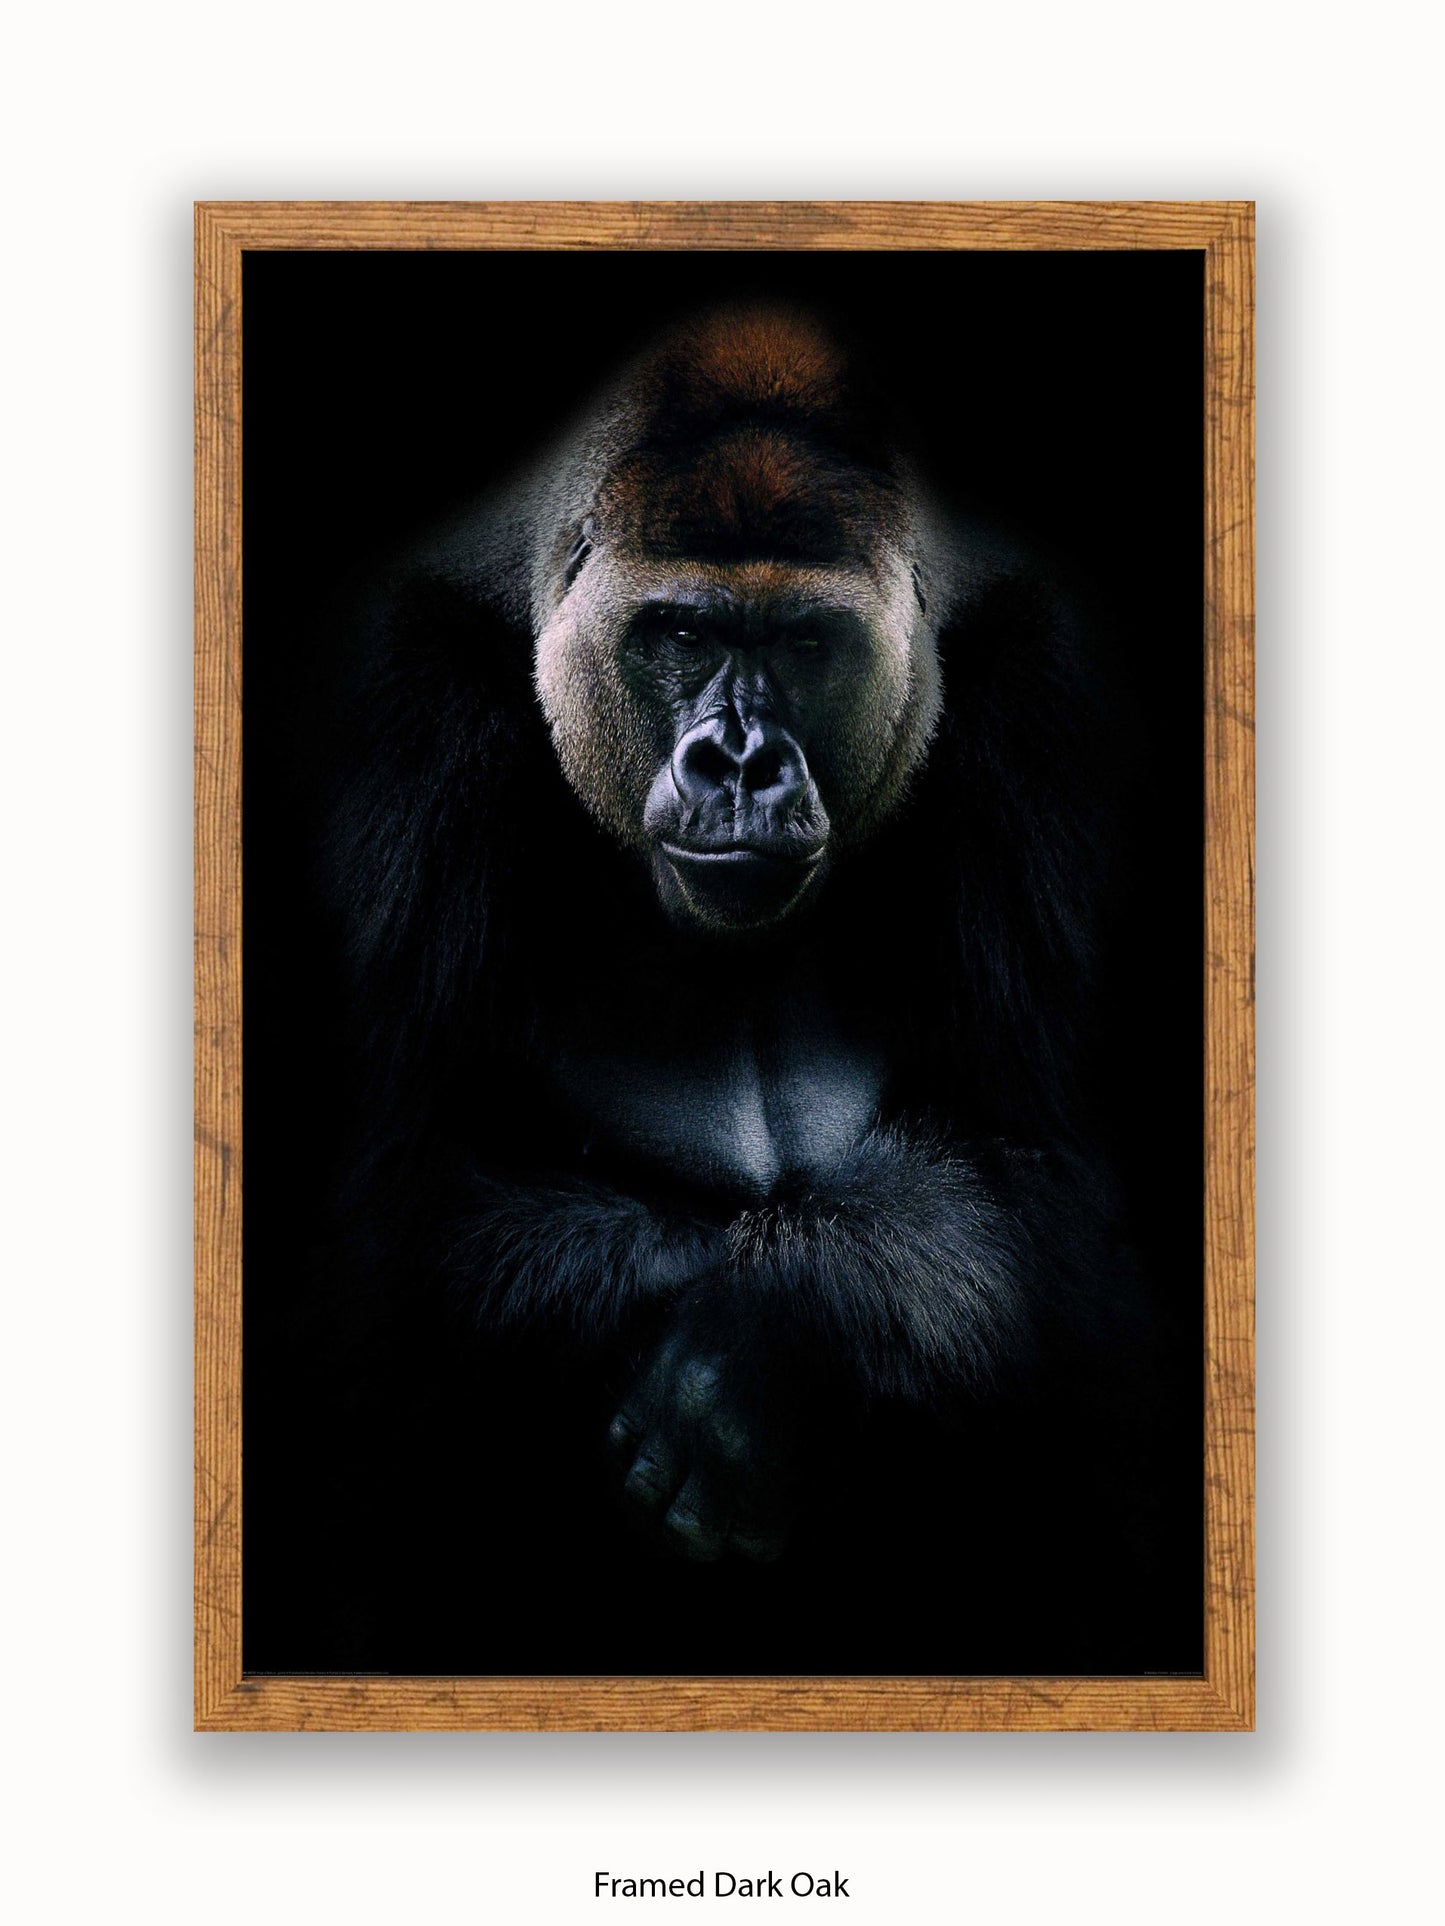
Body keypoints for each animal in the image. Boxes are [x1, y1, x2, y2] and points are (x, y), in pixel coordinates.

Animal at [309, 304, 1185, 1673]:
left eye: (803, 643)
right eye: (681, 634)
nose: (738, 761)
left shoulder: (1043, 678)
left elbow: (1033, 1175)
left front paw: (767, 1344)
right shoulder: (399, 693)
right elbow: (407, 1206)